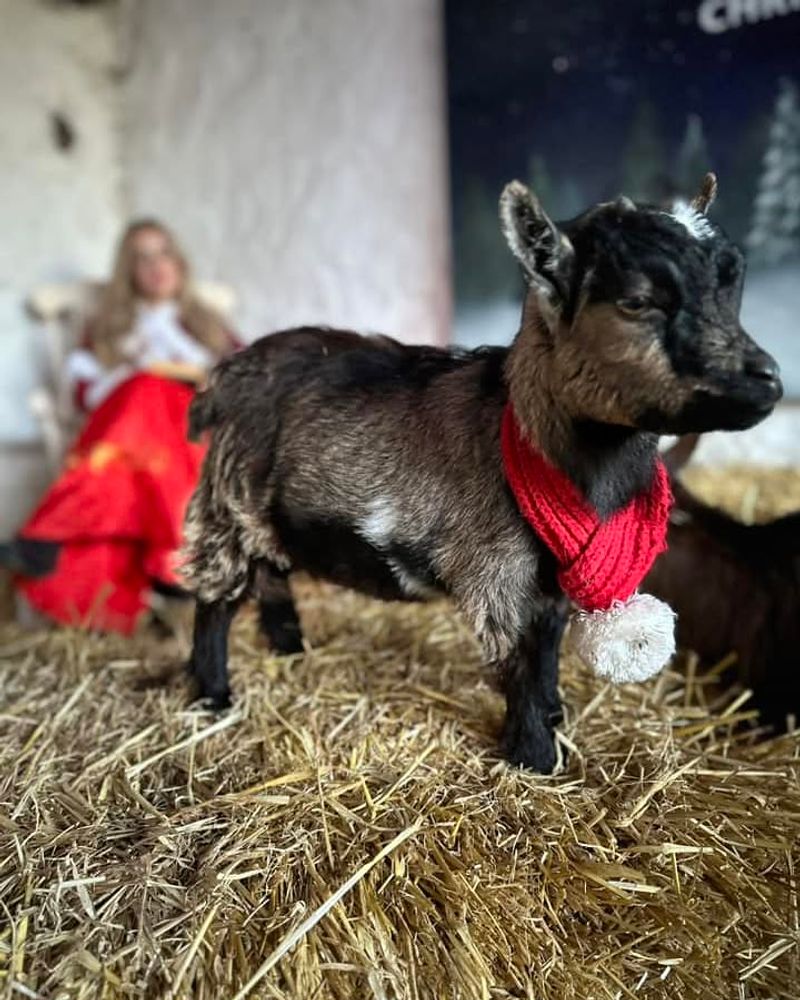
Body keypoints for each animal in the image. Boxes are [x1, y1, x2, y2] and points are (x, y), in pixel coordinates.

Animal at [183, 175, 782, 772]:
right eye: (638, 301)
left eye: (732, 283)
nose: (768, 381)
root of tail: (225, 378)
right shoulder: (497, 574)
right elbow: (518, 662)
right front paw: (534, 756)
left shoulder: (549, 581)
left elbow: (546, 649)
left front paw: (553, 715)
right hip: (229, 504)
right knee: (216, 600)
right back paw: (212, 696)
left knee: (272, 574)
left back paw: (289, 649)